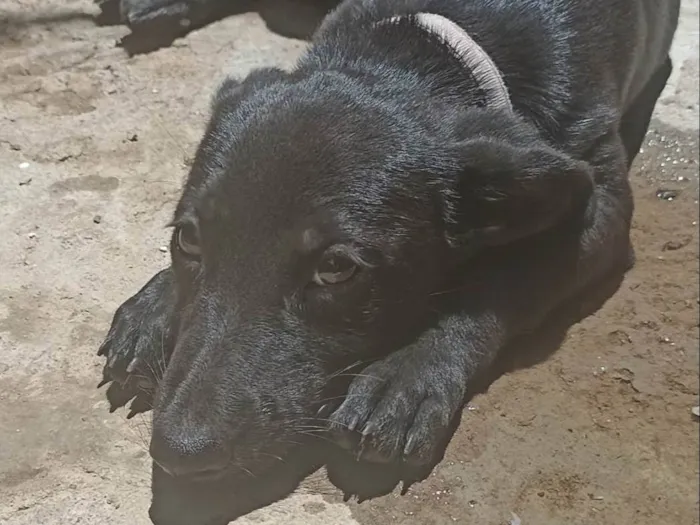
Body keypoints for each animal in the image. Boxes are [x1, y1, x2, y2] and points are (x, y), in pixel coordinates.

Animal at [97, 0, 680, 520]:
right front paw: (155, 306)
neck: (422, 47)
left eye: (336, 269)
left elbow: (506, 280)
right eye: (188, 240)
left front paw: (406, 378)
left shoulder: (600, 205)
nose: (180, 454)